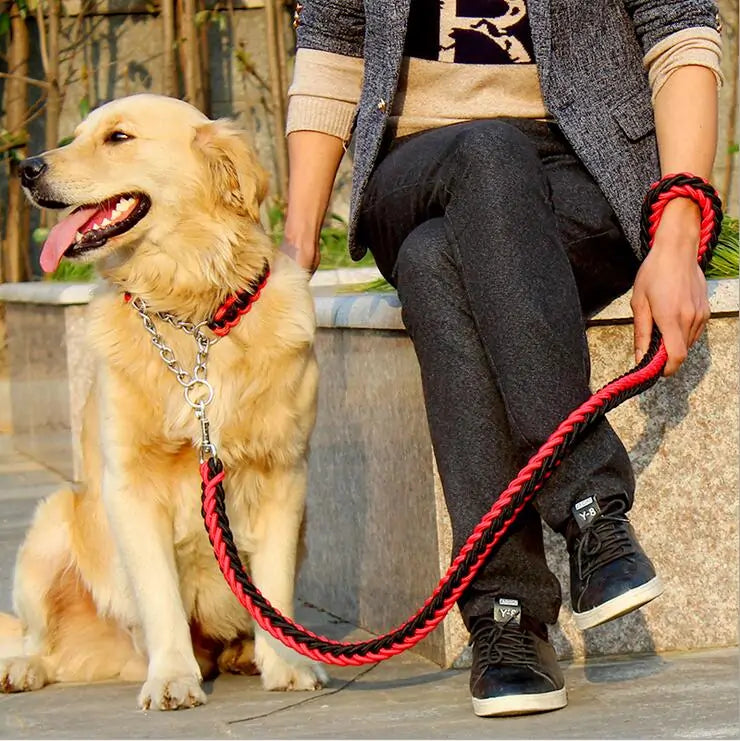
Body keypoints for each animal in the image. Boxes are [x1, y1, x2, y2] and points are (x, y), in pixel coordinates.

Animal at [0, 95, 330, 708]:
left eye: (118, 137)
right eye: (78, 133)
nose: (26, 168)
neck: (190, 309)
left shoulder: (283, 475)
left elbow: (273, 592)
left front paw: (287, 665)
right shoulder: (131, 484)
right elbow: (161, 598)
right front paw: (174, 676)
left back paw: (242, 655)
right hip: (52, 523)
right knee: (41, 641)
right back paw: (24, 668)